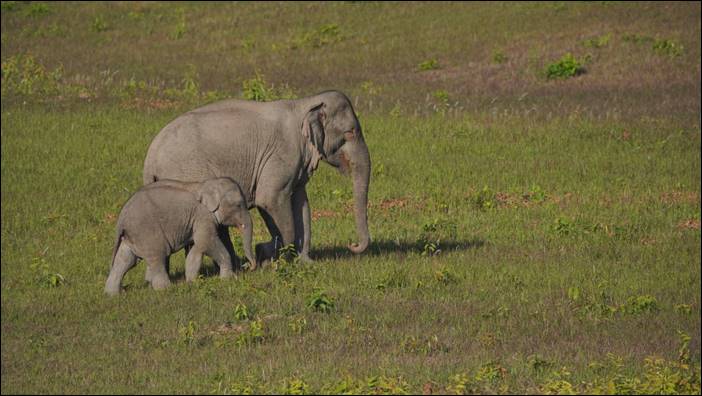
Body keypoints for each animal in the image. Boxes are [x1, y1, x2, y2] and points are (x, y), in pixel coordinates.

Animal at [104, 178, 256, 296]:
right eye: (238, 205)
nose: (248, 267)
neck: (208, 183)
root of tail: (121, 218)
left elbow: (198, 247)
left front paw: (191, 281)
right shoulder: (203, 215)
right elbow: (207, 242)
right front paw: (228, 279)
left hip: (131, 236)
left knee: (125, 260)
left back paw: (112, 294)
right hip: (146, 233)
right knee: (157, 257)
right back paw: (165, 289)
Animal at [144, 89, 374, 262]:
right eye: (350, 133)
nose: (352, 244)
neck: (304, 104)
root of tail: (150, 157)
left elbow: (301, 204)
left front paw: (306, 262)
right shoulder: (282, 153)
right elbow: (270, 200)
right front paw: (269, 255)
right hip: (188, 173)